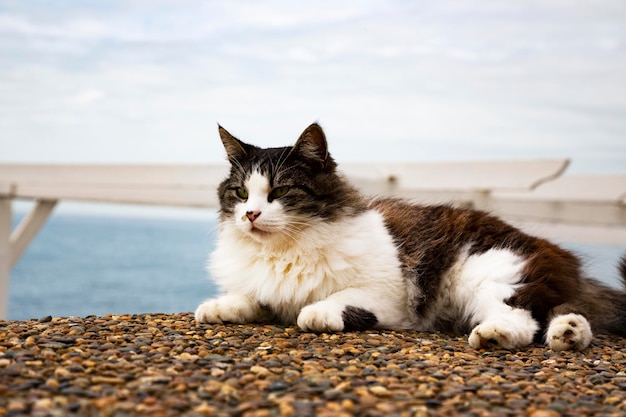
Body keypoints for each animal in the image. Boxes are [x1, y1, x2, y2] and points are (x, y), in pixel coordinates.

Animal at [196, 123, 624, 352]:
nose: (250, 215)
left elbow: (330, 303)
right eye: (240, 193)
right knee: (562, 315)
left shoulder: (389, 297)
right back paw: (569, 334)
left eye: (280, 192)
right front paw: (220, 307)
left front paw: (316, 313)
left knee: (522, 319)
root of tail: (559, 256)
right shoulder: (265, 289)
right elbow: (252, 297)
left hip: (488, 275)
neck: (284, 250)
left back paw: (497, 336)